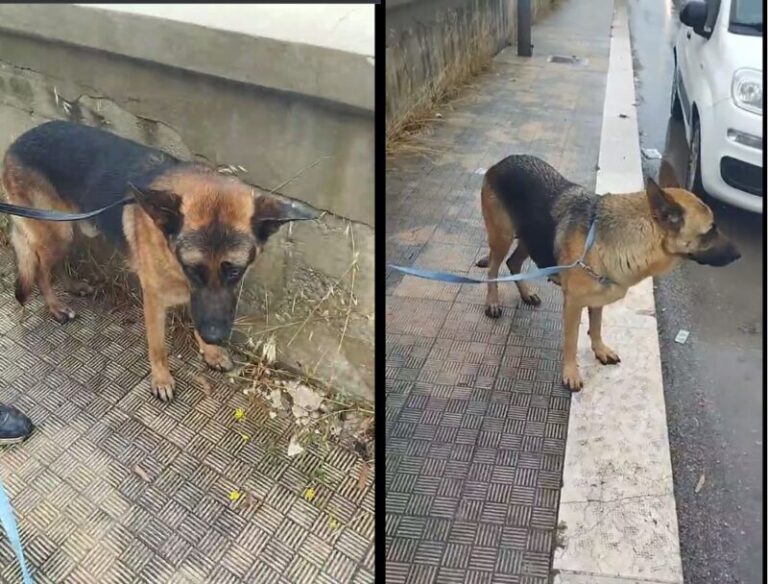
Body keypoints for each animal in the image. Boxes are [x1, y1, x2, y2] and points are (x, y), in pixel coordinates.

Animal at [1, 118, 316, 402]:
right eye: (193, 268)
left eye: (235, 271)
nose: (215, 336)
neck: (170, 250)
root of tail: (17, 142)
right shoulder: (154, 299)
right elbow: (158, 346)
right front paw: (162, 380)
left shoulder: (197, 298)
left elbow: (199, 314)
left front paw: (210, 352)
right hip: (57, 231)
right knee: (41, 268)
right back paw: (55, 307)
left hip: (67, 227)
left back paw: (73, 286)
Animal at [476, 155, 740, 392]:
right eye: (710, 230)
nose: (739, 255)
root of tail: (498, 164)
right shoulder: (573, 304)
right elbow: (571, 340)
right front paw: (571, 373)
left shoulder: (597, 299)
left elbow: (597, 326)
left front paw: (600, 350)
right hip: (502, 238)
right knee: (494, 270)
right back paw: (492, 302)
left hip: (529, 238)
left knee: (513, 263)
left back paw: (526, 293)